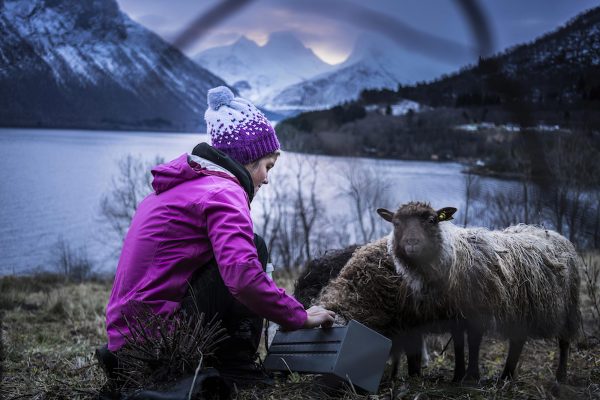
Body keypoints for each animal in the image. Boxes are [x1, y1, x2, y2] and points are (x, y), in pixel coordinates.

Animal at [380, 202, 580, 382]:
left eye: (431, 220)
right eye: (396, 223)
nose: (412, 243)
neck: (454, 257)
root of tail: (553, 233)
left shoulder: (478, 309)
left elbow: (474, 343)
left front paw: (471, 377)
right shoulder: (454, 314)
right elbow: (459, 344)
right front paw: (458, 376)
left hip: (568, 304)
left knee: (564, 341)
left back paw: (560, 377)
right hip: (522, 306)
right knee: (518, 340)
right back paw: (506, 377)